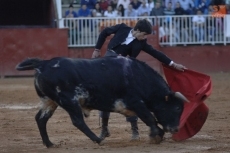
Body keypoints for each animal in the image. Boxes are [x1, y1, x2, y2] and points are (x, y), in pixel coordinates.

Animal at [15, 56, 189, 148]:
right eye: (176, 108)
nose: (175, 129)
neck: (139, 77)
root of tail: (43, 63)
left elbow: (150, 119)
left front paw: (157, 135)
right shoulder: (136, 102)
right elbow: (150, 118)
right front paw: (156, 136)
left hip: (50, 101)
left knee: (41, 119)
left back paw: (49, 143)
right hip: (69, 101)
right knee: (78, 121)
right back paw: (98, 140)